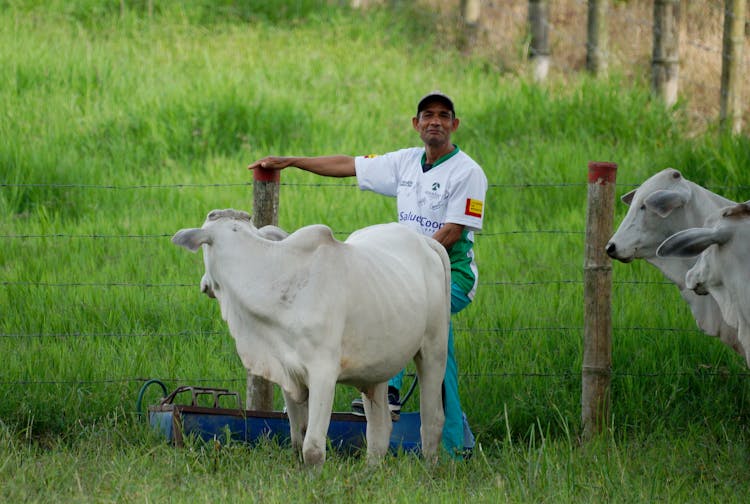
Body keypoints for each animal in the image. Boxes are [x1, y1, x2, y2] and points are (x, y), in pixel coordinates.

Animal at [173, 209, 450, 464]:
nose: (204, 284)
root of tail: (424, 241)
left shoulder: (323, 373)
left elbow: (313, 448)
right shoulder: (286, 372)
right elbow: (298, 438)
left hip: (434, 350)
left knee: (432, 421)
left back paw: (430, 469)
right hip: (377, 367)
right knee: (380, 429)